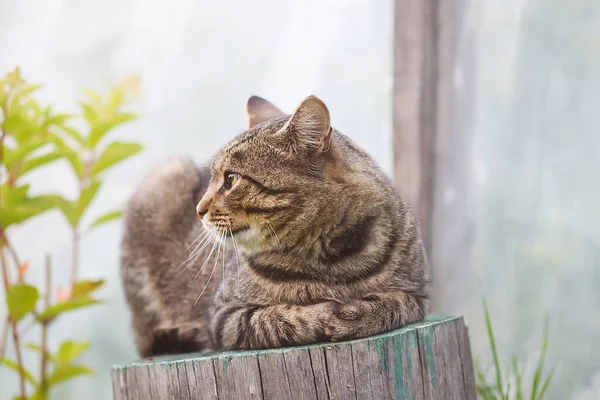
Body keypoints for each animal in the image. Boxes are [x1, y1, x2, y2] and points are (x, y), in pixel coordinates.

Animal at [120, 94, 432, 356]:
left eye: (231, 179)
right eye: (213, 179)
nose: (199, 209)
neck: (329, 259)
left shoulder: (418, 295)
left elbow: (395, 304)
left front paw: (360, 313)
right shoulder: (224, 316)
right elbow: (277, 318)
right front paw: (324, 314)